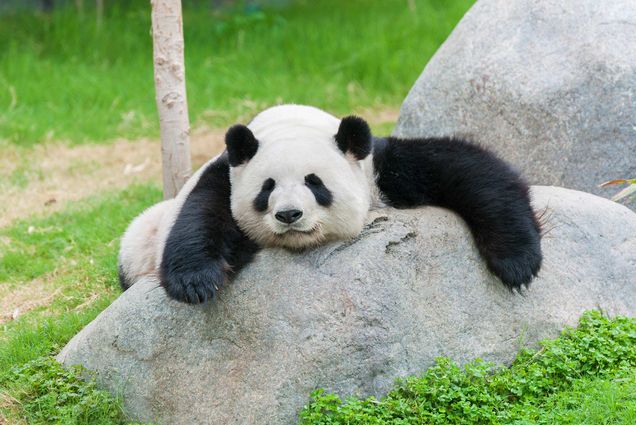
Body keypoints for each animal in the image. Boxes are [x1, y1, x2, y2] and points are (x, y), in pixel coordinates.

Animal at [119, 106, 540, 304]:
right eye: (267, 189)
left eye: (315, 182)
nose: (289, 214)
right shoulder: (225, 174)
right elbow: (201, 215)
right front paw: (196, 282)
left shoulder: (377, 168)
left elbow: (467, 169)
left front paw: (517, 262)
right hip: (139, 242)